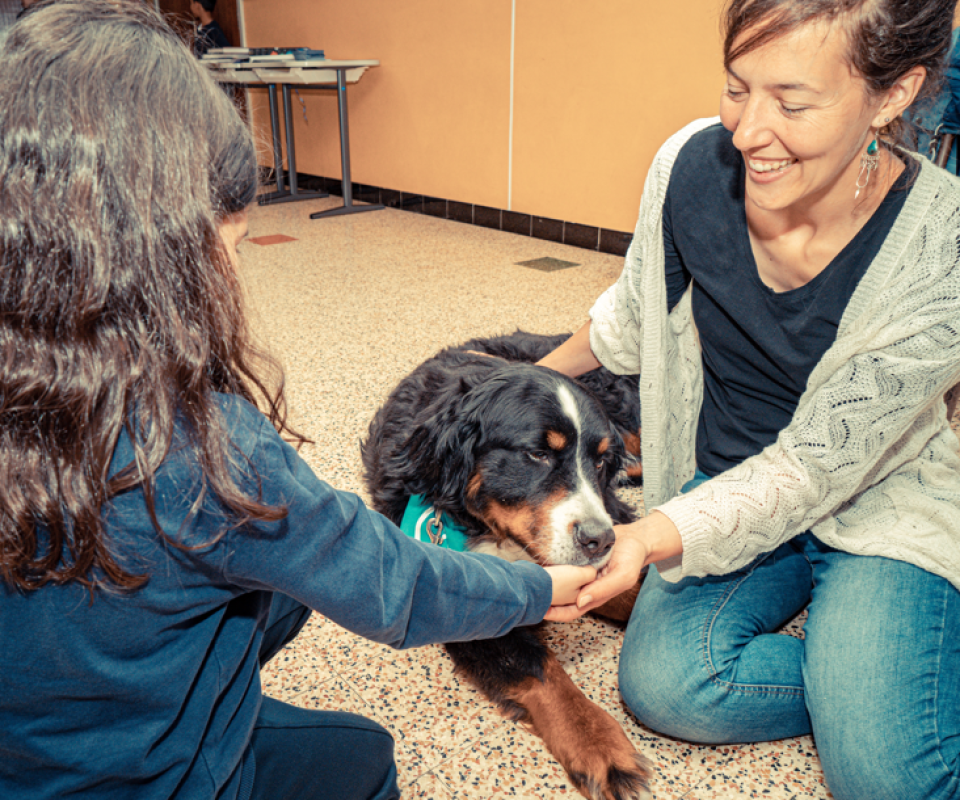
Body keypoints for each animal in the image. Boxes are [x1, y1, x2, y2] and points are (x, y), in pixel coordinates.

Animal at [362, 328, 652, 796]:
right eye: (537, 454)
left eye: (599, 461)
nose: (599, 540)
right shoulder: (461, 606)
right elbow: (542, 674)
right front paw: (600, 745)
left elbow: (633, 589)